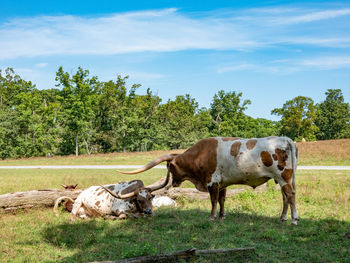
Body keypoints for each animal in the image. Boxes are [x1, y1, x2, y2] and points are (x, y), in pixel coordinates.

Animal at [117, 137, 298, 226]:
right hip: (282, 179)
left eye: (170, 167)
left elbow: (213, 201)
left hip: (284, 177)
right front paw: (222, 217)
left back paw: (294, 220)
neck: (200, 154)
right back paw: (282, 218)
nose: (173, 182)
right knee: (285, 198)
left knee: (291, 196)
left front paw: (212, 217)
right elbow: (222, 200)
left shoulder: (213, 182)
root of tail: (286, 139)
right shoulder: (223, 183)